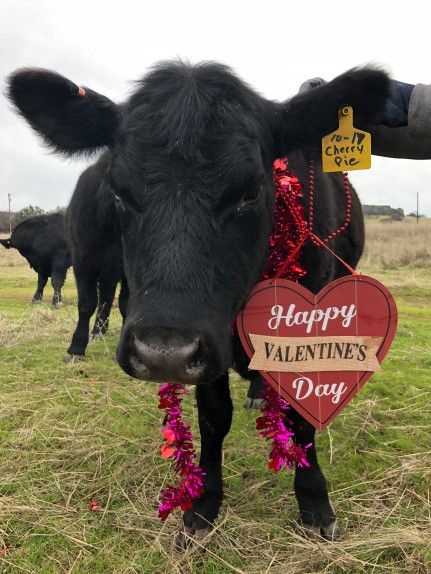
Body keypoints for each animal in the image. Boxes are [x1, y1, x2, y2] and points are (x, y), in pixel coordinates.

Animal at [6, 60, 392, 548]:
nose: (163, 353)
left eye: (251, 191)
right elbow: (213, 416)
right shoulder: (209, 341)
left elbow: (301, 413)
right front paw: (205, 503)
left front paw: (315, 503)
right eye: (118, 193)